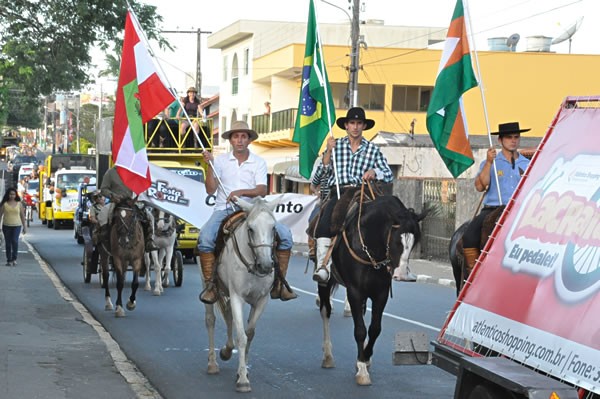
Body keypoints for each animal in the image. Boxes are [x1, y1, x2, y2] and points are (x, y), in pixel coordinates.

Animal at [200, 198, 278, 394]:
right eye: (250, 228)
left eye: (273, 228)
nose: (266, 265)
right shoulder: (237, 297)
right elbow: (241, 337)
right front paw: (243, 380)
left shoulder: (261, 300)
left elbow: (249, 333)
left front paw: (242, 371)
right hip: (208, 284)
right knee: (211, 320)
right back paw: (212, 363)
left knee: (228, 317)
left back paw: (227, 351)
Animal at [318, 195, 426, 386]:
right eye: (397, 240)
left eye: (414, 243)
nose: (402, 274)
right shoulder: (354, 291)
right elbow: (360, 330)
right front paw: (362, 369)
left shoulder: (380, 294)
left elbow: (375, 328)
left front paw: (365, 359)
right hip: (325, 282)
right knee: (325, 311)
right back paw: (328, 356)